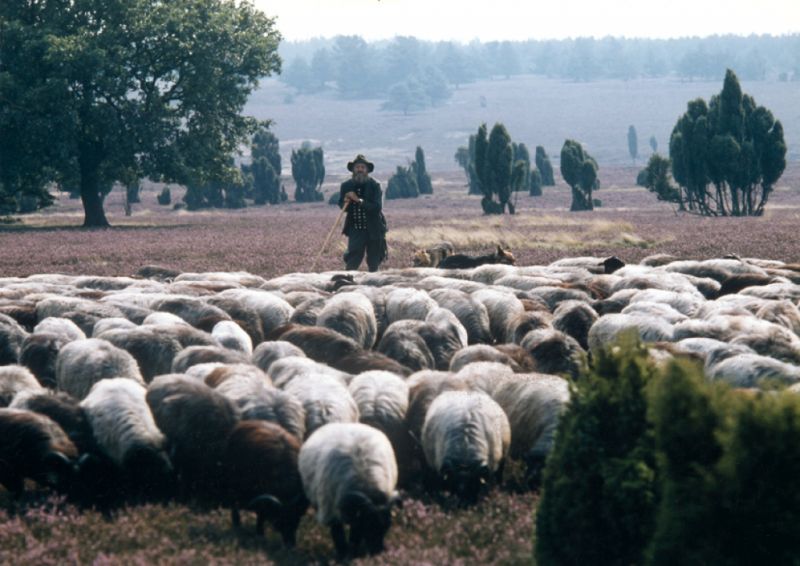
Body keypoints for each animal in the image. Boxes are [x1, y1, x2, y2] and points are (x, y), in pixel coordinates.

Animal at [300, 422, 400, 560]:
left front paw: (354, 554)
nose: (378, 554)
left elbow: (355, 534)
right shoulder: (332, 512)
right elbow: (338, 535)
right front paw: (343, 556)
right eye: (369, 526)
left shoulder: (357, 515)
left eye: (387, 526)